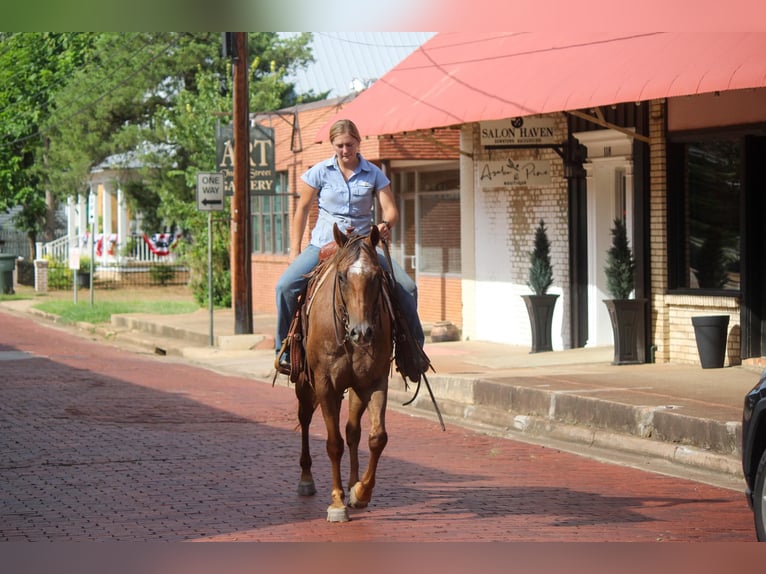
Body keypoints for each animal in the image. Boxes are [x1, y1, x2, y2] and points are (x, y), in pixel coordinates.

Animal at [296, 225, 396, 528]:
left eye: (376, 276)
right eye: (341, 277)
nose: (361, 332)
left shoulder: (375, 381)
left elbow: (377, 437)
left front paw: (360, 492)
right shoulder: (325, 385)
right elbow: (333, 444)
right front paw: (337, 503)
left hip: (355, 388)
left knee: (353, 431)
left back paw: (353, 484)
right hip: (305, 384)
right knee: (305, 418)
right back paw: (306, 479)